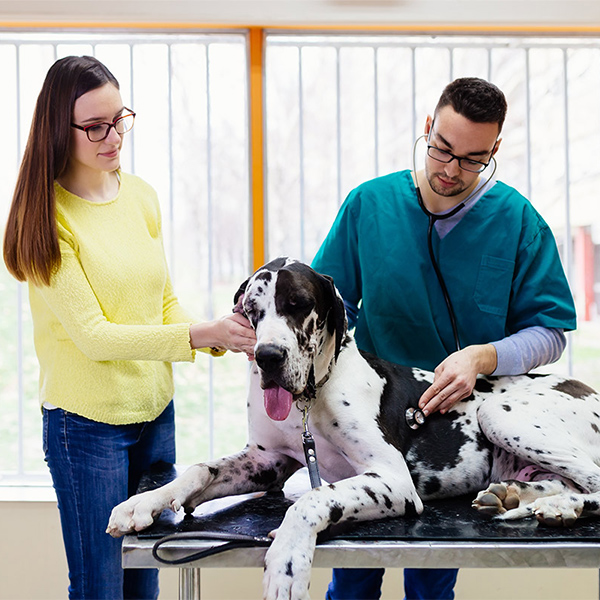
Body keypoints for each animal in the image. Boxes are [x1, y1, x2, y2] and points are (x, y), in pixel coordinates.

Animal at [110, 256, 600, 600]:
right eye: (251, 309)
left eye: (299, 305)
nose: (268, 357)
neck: (310, 398)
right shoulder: (266, 462)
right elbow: (198, 470)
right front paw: (144, 502)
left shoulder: (394, 480)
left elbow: (313, 498)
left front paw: (288, 561)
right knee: (562, 480)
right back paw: (520, 497)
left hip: (498, 414)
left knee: (592, 481)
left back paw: (561, 507)